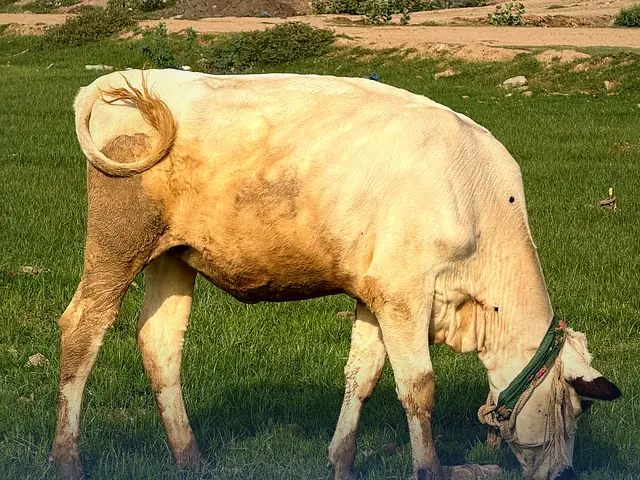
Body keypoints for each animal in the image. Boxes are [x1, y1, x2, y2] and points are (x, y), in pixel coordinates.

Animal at [51, 69, 621, 480]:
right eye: (576, 407)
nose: (567, 474)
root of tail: (128, 76)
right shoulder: (405, 294)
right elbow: (419, 386)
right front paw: (430, 468)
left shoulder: (376, 294)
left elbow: (363, 376)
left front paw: (342, 462)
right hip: (118, 241)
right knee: (82, 328)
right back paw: (66, 460)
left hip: (171, 256)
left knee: (161, 343)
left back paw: (190, 457)